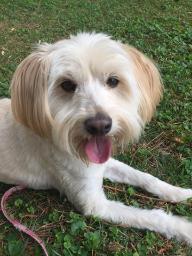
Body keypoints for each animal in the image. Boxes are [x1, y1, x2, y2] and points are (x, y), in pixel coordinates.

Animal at [0, 32, 192, 244]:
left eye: (113, 81)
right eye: (67, 85)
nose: (99, 125)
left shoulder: (102, 164)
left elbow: (143, 176)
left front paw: (177, 191)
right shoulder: (95, 204)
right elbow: (151, 216)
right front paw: (184, 228)